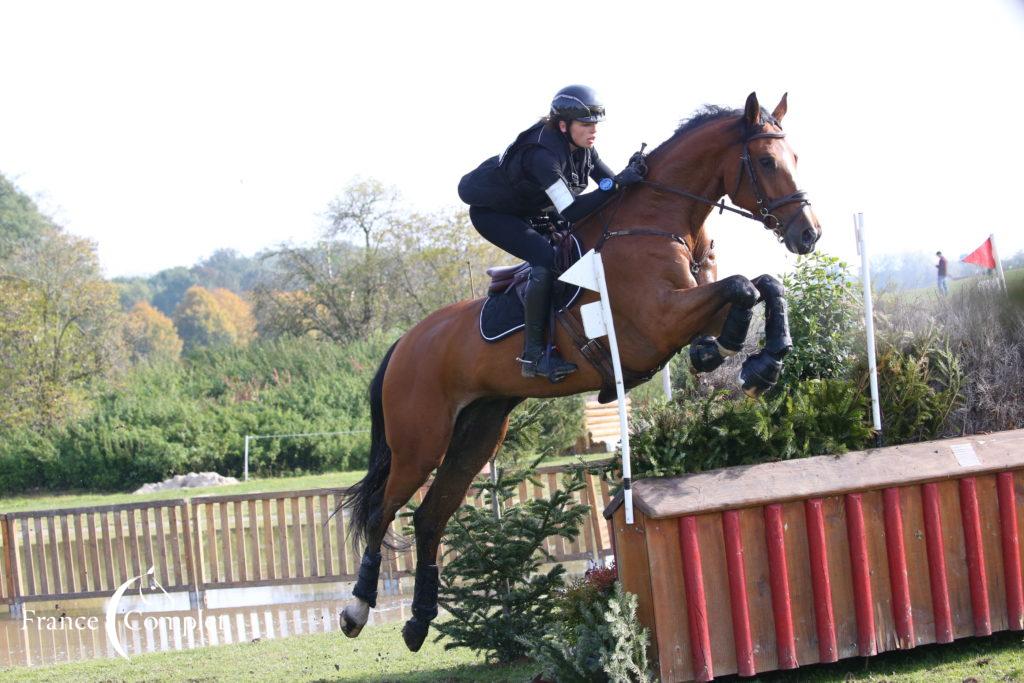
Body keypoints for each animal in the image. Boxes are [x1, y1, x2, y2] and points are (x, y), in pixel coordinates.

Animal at [339, 92, 819, 651]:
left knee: (430, 516)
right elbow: (743, 285)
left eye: (795, 159)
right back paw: (356, 609)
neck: (658, 222)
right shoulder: (659, 322)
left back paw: (418, 621)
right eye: (765, 161)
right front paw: (748, 354)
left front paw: (761, 357)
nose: (809, 234)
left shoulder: (690, 306)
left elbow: (761, 285)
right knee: (383, 511)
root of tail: (404, 344)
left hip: (477, 433)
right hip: (419, 443)